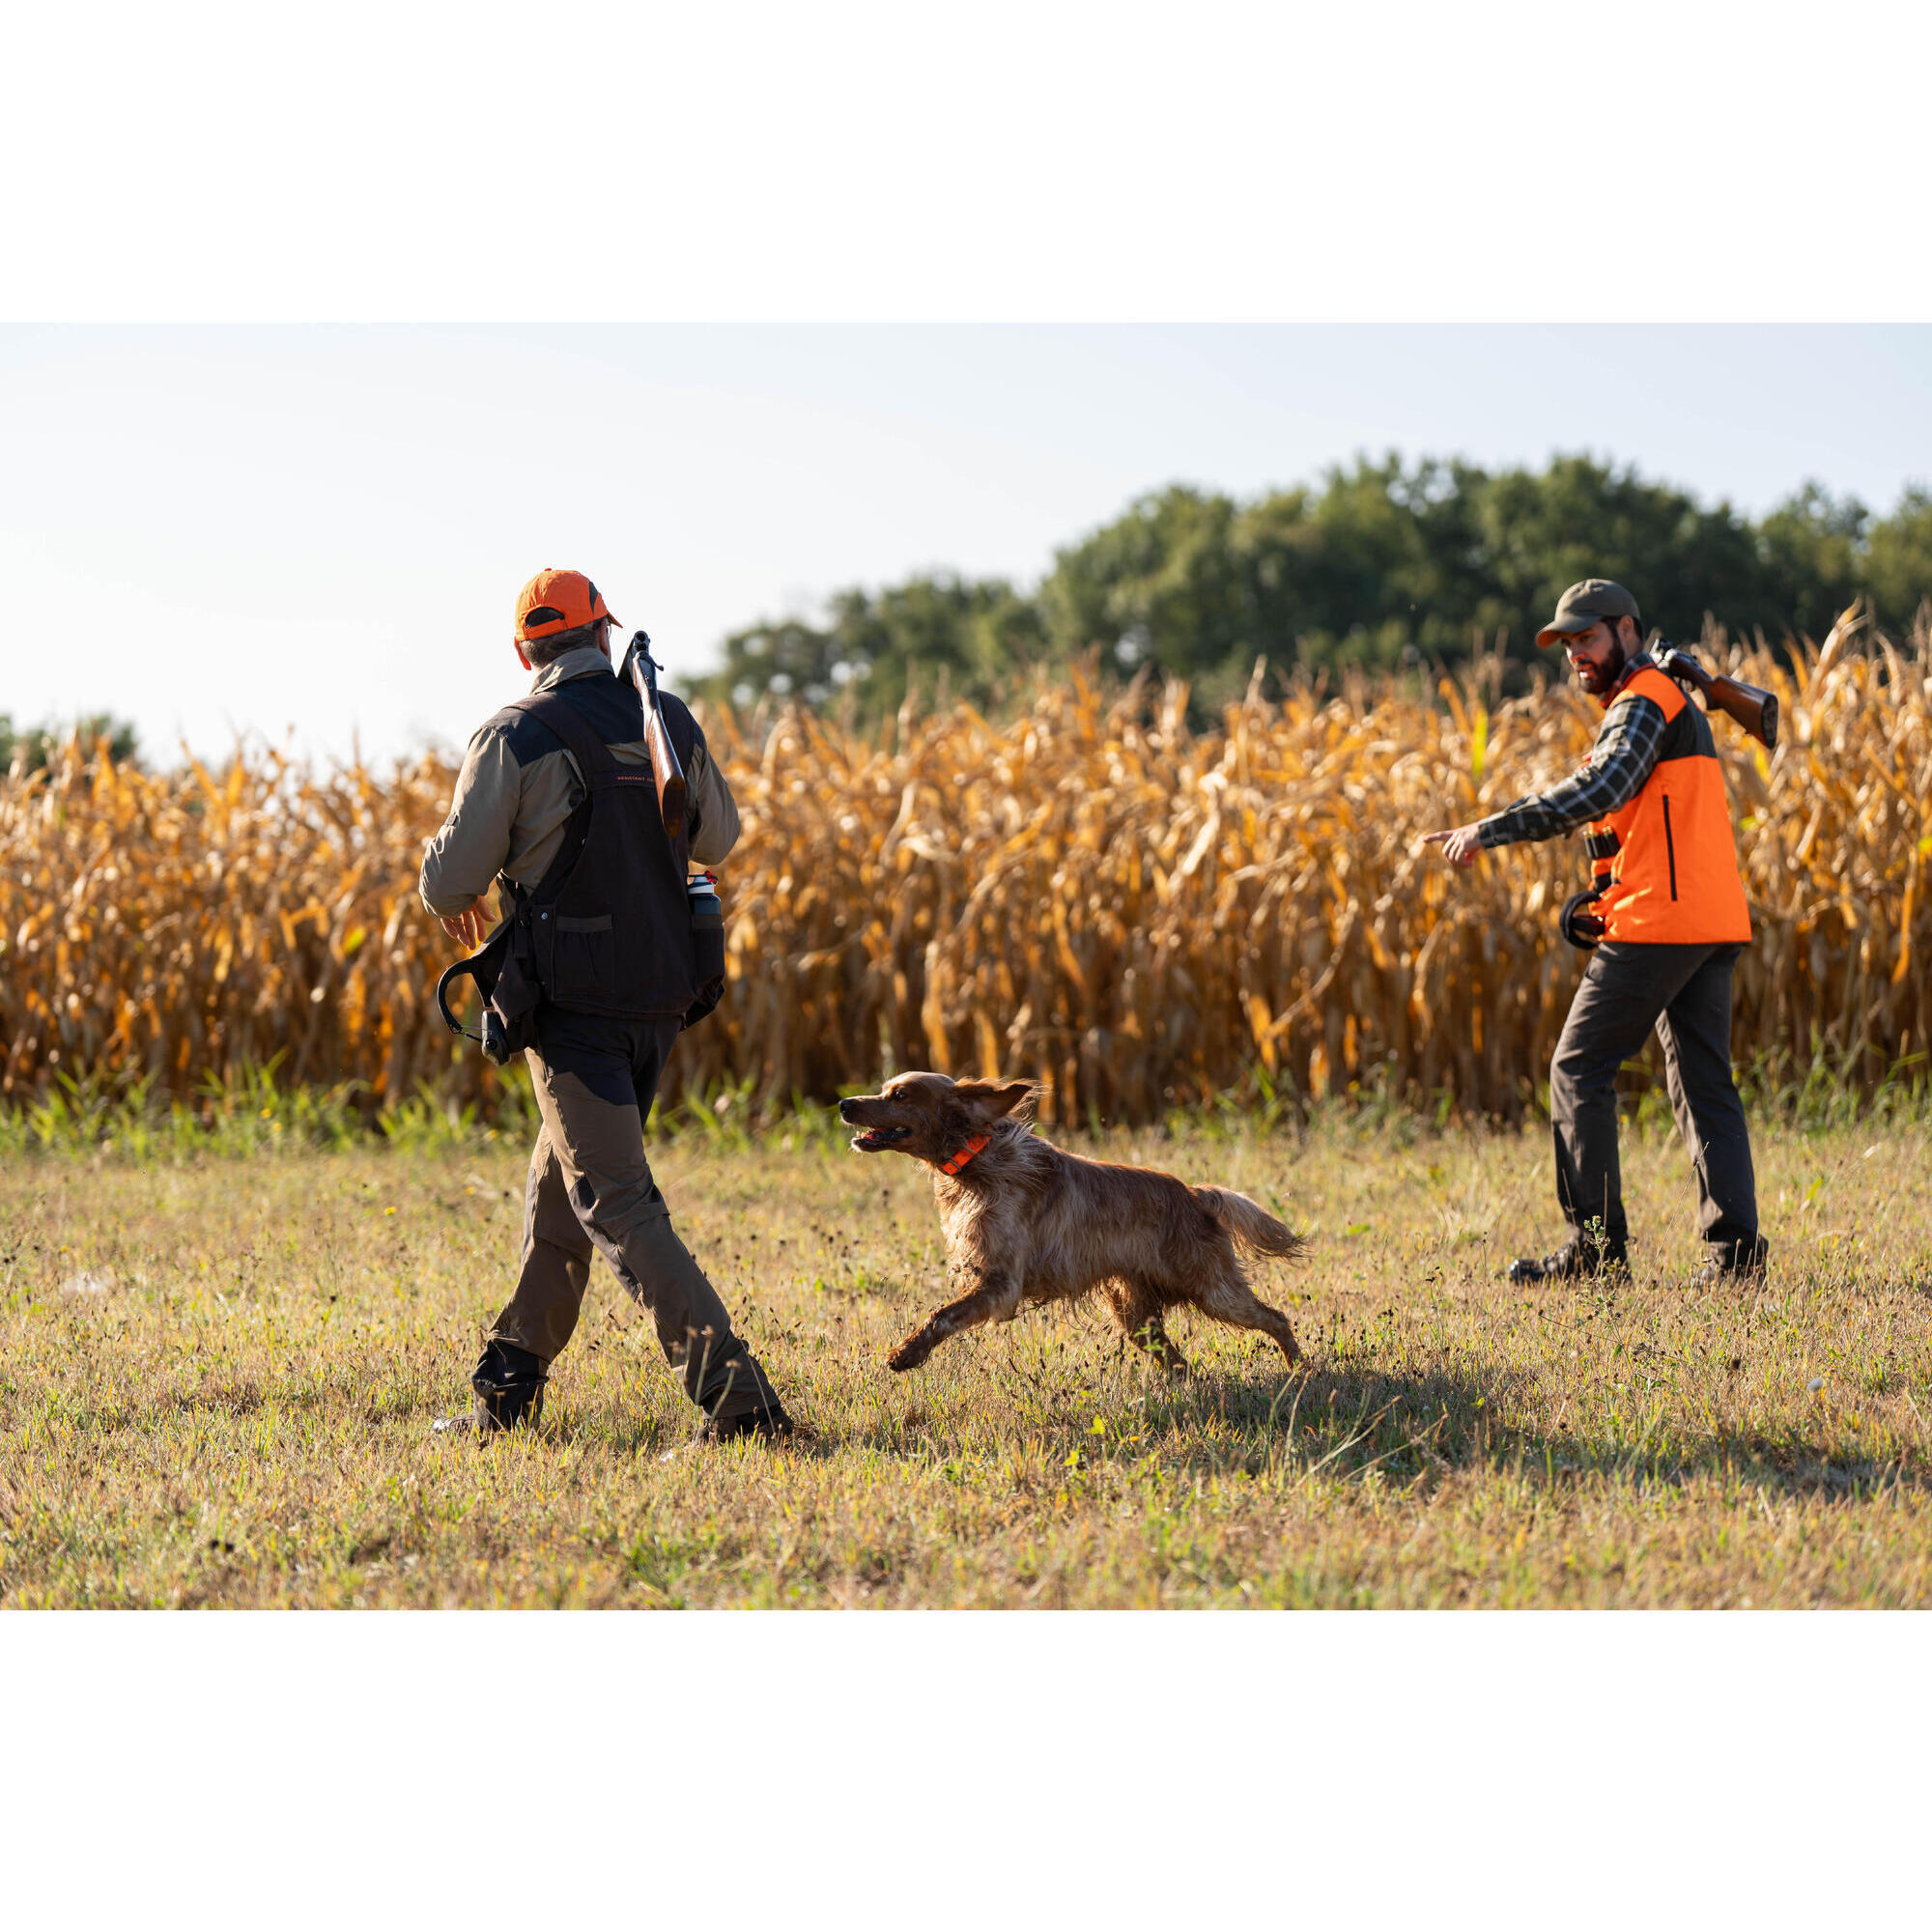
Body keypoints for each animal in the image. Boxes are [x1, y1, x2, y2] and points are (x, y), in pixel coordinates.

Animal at [838, 1074, 1306, 1376]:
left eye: (900, 1095)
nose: (845, 1104)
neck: (979, 1162)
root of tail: (1195, 1194)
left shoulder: (1001, 1284)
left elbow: (942, 1315)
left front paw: (906, 1354)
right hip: (1137, 1315)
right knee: (1178, 1361)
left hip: (1214, 1289)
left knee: (1277, 1318)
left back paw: (1299, 1370)